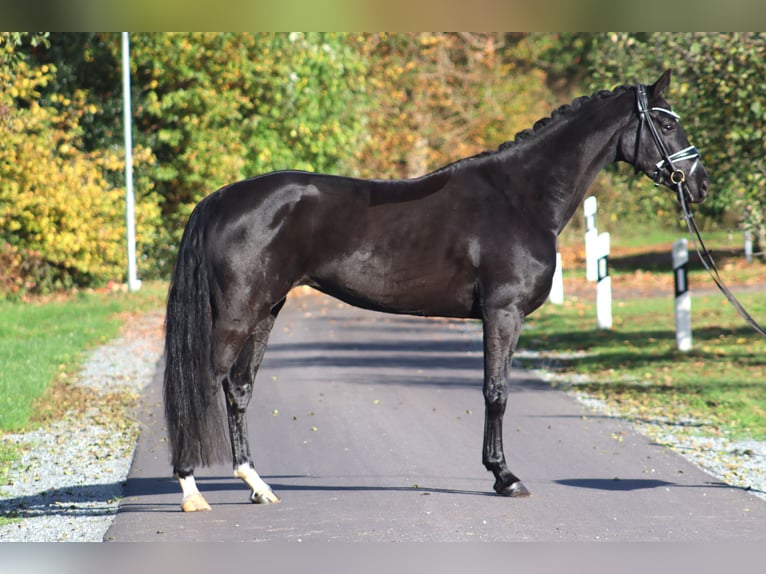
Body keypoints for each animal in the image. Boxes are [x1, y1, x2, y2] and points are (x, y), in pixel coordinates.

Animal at [165, 70, 712, 516]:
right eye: (666, 126)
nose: (700, 185)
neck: (520, 197)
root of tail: (219, 199)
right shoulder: (503, 313)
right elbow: (496, 391)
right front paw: (505, 477)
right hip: (237, 314)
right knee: (203, 384)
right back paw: (190, 489)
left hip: (265, 311)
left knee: (238, 389)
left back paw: (257, 484)